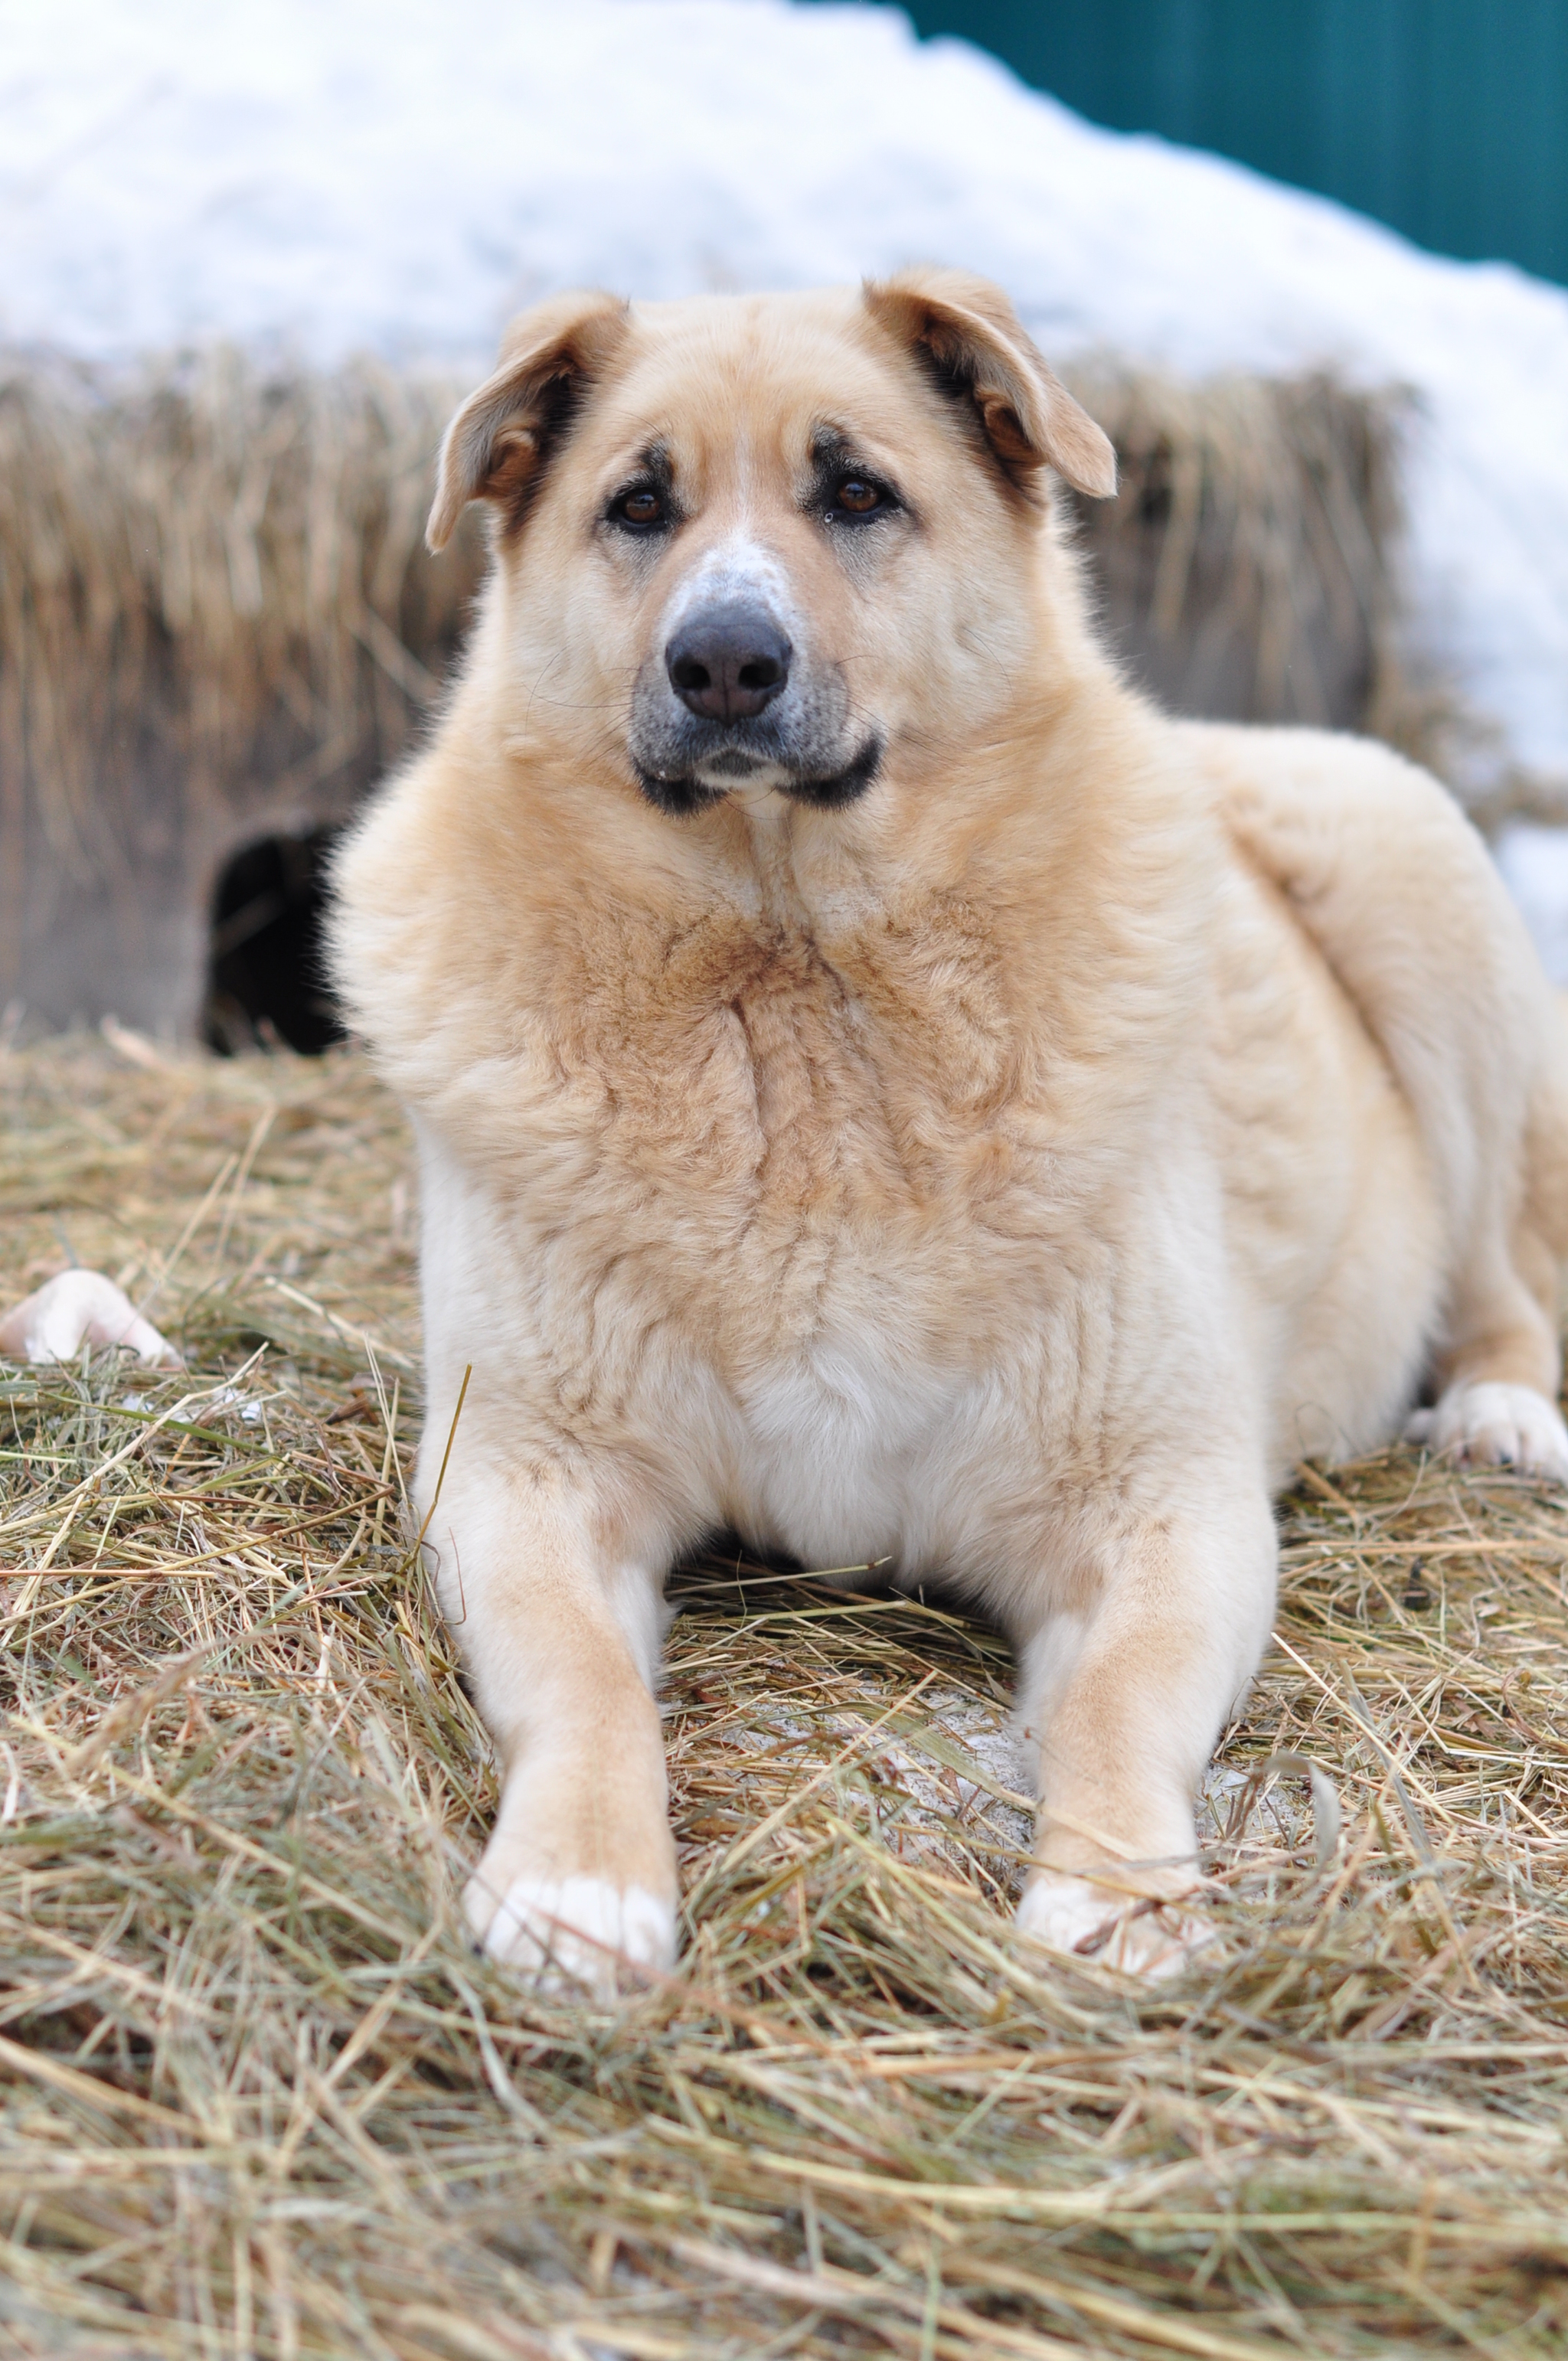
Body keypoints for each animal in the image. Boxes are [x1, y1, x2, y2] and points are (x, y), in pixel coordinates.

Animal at [328, 268, 1567, 1983]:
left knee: (1504, 1254)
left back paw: (1503, 1409)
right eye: (636, 506)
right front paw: (578, 1881)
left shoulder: (1165, 1500)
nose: (724, 662)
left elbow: (1113, 1699)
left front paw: (1113, 1893)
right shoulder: (518, 1472)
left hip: (1404, 859)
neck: (799, 980)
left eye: (857, 494)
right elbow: (581, 1678)